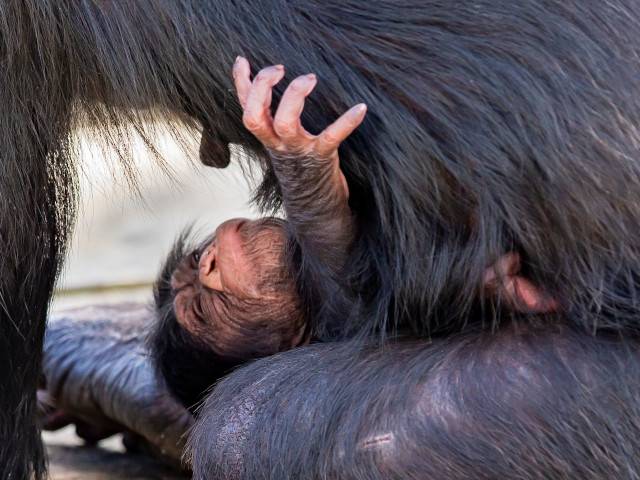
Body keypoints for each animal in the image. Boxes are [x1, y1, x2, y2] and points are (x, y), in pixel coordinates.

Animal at [3, 0, 640, 480]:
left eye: (195, 265)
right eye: (203, 306)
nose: (207, 262)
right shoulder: (328, 302)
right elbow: (346, 272)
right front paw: (295, 156)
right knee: (241, 424)